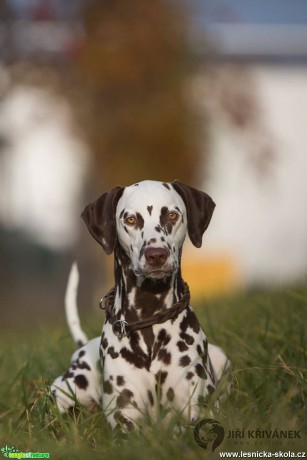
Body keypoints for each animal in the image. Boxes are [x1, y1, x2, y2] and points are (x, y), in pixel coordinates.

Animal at [51, 180, 231, 428]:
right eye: (130, 220)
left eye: (172, 215)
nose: (156, 255)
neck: (149, 318)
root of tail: (83, 345)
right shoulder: (124, 418)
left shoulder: (197, 408)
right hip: (70, 387)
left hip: (222, 358)